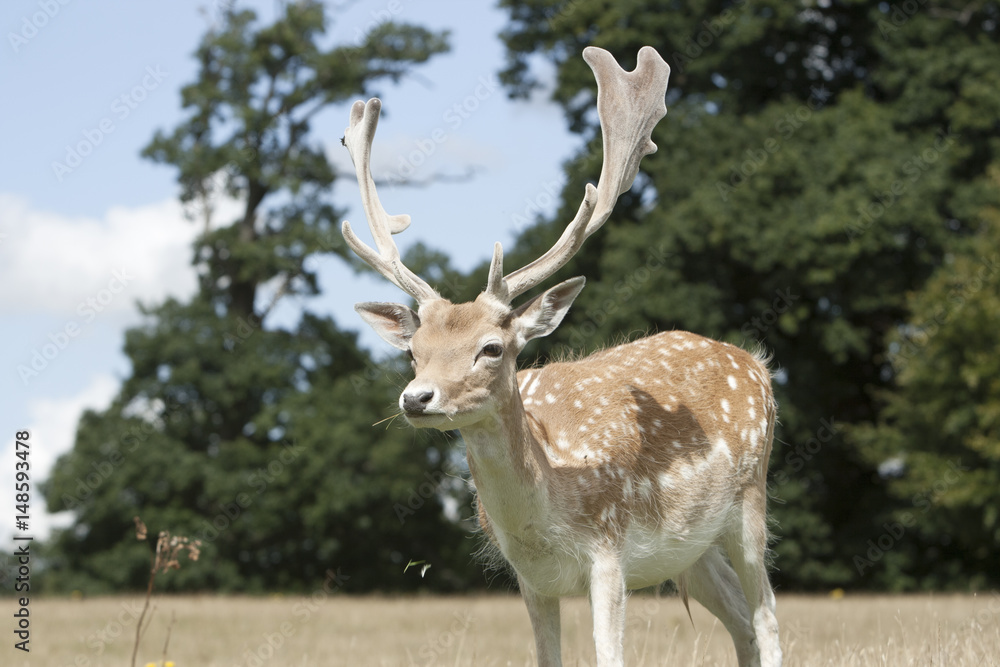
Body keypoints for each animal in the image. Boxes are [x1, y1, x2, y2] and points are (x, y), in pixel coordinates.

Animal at [340, 45, 782, 667]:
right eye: (414, 353)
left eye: (492, 348)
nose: (416, 398)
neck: (550, 516)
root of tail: (758, 364)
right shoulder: (530, 580)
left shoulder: (610, 554)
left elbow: (610, 656)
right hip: (690, 551)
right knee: (740, 620)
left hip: (749, 503)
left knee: (767, 615)